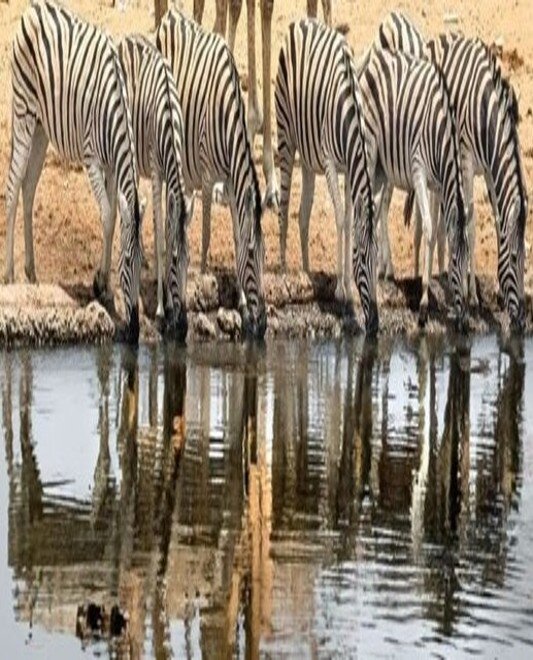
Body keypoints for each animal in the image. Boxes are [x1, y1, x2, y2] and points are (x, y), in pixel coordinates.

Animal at [6, 0, 142, 343]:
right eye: (126, 262)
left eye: (144, 262)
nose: (134, 332)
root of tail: (33, 8)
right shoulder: (93, 160)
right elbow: (106, 218)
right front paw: (103, 287)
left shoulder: (112, 167)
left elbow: (114, 217)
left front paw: (101, 284)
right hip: (23, 110)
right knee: (13, 185)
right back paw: (10, 273)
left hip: (42, 124)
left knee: (28, 186)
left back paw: (31, 272)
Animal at [156, 9, 266, 338]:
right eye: (253, 254)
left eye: (265, 256)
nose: (264, 325)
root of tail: (172, 14)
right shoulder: (207, 177)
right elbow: (205, 233)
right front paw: (204, 283)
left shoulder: (231, 182)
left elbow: (235, 233)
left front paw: (241, 303)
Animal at [275, 20, 378, 335]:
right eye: (361, 259)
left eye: (380, 260)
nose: (375, 324)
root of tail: (301, 22)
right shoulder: (333, 163)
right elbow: (342, 219)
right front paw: (342, 292)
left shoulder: (349, 169)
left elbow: (348, 216)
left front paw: (348, 289)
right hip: (285, 135)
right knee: (284, 206)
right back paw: (283, 267)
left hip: (308, 159)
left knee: (303, 212)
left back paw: (306, 271)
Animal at [358, 46, 469, 329]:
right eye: (454, 261)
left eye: (468, 263)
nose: (464, 323)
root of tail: (374, 55)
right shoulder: (419, 174)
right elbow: (429, 230)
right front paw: (423, 305)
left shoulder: (439, 186)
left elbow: (439, 230)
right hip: (370, 149)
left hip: (382, 167)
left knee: (376, 210)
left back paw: (379, 275)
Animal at [376, 12, 528, 331]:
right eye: (512, 258)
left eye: (525, 261)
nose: (522, 323)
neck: (487, 112)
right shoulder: (467, 161)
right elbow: (471, 222)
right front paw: (472, 297)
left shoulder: (491, 171)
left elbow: (493, 220)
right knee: (387, 203)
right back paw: (390, 268)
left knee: (435, 216)